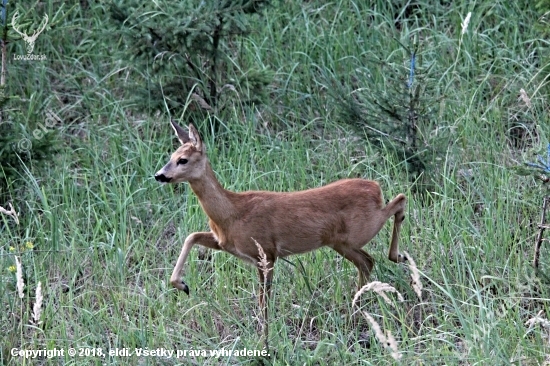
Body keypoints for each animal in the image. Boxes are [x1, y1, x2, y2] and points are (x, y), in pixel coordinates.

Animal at [155, 121, 410, 314]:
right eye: (171, 155)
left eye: (183, 160)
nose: (159, 175)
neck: (231, 213)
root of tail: (375, 188)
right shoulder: (226, 243)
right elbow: (191, 236)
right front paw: (181, 285)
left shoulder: (266, 253)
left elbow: (263, 302)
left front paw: (263, 333)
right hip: (341, 242)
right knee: (367, 261)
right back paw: (358, 302)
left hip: (360, 230)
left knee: (399, 201)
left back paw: (396, 258)